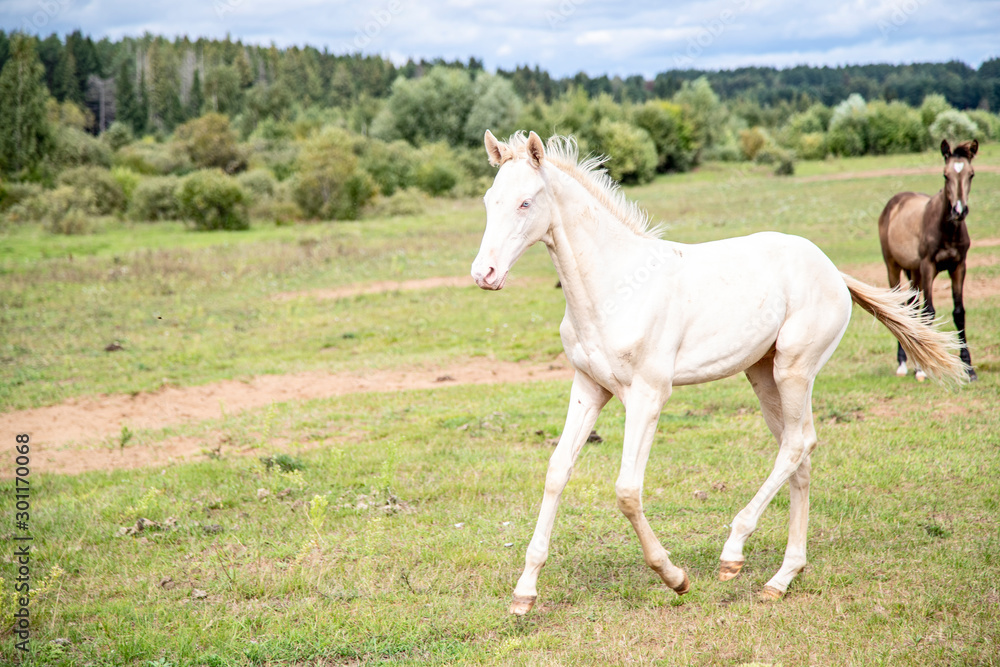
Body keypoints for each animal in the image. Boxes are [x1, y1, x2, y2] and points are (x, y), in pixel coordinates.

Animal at [876, 140, 976, 380]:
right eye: (945, 175)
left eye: (971, 174)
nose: (959, 210)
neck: (947, 230)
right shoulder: (928, 267)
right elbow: (929, 310)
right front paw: (924, 369)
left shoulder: (959, 266)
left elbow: (959, 312)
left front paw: (969, 367)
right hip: (894, 267)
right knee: (900, 308)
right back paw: (903, 364)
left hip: (914, 272)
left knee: (912, 308)